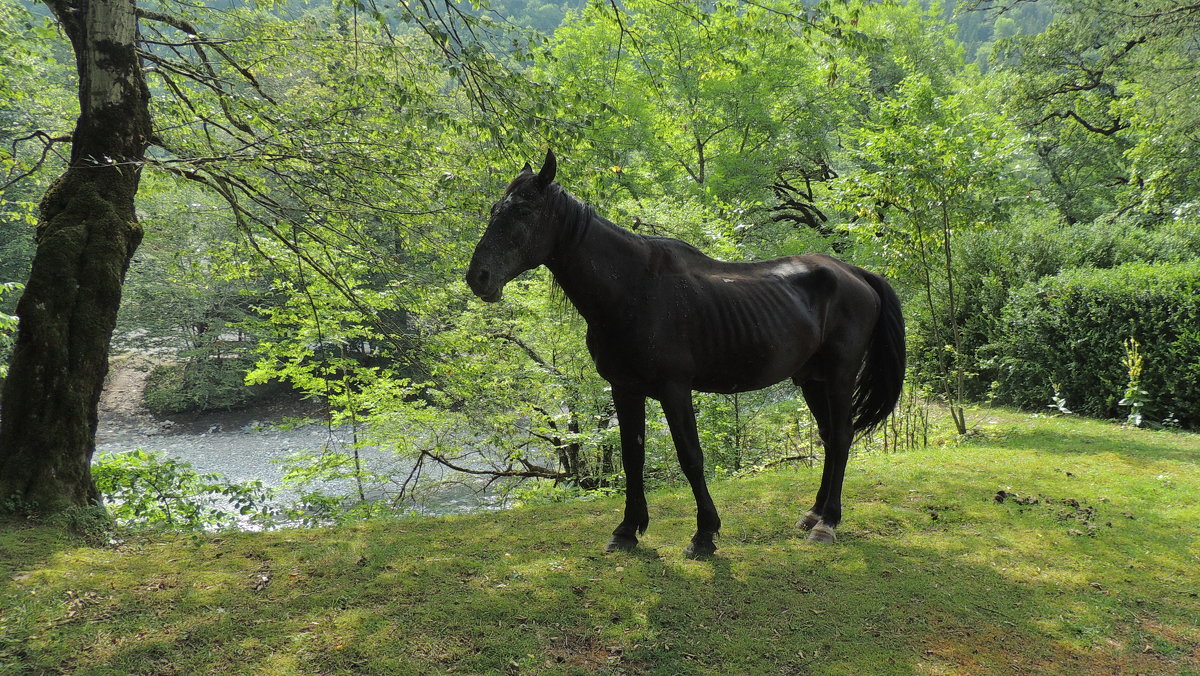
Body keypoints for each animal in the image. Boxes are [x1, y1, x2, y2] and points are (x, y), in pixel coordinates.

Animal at [463, 150, 902, 557]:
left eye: (523, 210)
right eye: (495, 210)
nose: (477, 277)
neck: (632, 290)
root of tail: (856, 273)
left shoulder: (675, 389)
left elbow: (691, 457)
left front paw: (704, 534)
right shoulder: (625, 389)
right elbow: (632, 457)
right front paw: (627, 530)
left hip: (841, 376)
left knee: (842, 436)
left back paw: (827, 523)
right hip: (812, 379)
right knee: (829, 438)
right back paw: (813, 513)